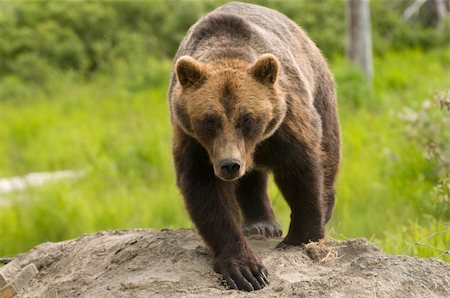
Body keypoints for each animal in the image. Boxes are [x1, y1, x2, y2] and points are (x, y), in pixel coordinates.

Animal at [169, 1, 342, 292]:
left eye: (247, 118)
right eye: (209, 120)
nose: (230, 164)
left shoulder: (285, 120)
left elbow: (301, 168)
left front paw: (302, 236)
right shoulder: (195, 142)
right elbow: (206, 191)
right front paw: (246, 271)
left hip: (320, 89)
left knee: (328, 148)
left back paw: (324, 206)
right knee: (252, 179)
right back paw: (261, 224)